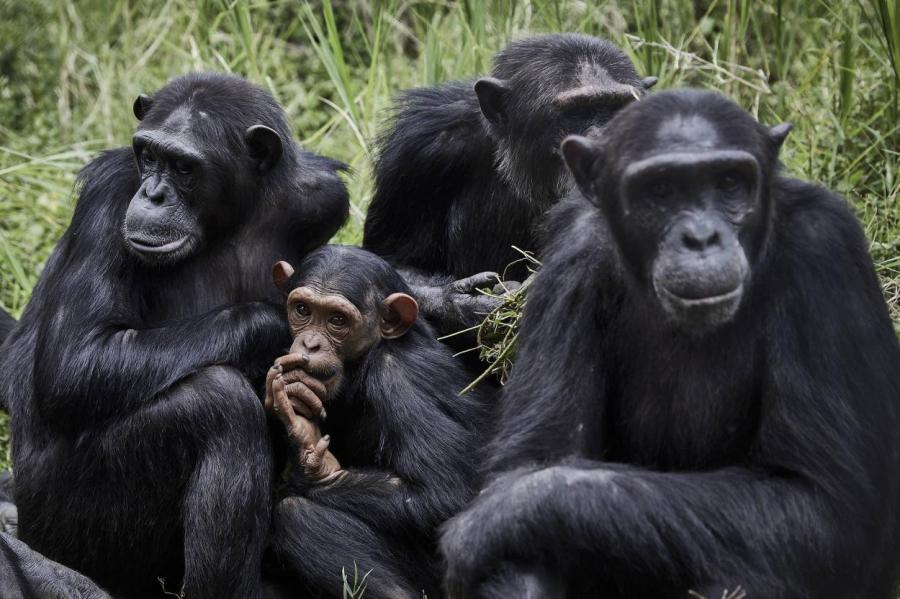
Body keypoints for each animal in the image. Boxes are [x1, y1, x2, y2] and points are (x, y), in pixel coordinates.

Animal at [0, 72, 350, 596]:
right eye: (147, 155)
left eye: (184, 167)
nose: (152, 194)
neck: (231, 216)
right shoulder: (108, 195)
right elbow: (76, 360)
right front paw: (280, 327)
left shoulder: (323, 197)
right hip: (67, 533)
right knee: (217, 404)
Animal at [260, 246, 492, 596]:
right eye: (302, 309)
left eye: (337, 320)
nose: (311, 344)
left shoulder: (397, 378)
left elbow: (444, 493)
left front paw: (312, 458)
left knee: (298, 516)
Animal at [440, 90, 900, 599]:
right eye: (660, 190)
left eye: (728, 183)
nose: (700, 237)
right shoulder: (568, 256)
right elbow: (536, 455)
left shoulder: (825, 249)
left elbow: (818, 503)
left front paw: (496, 514)